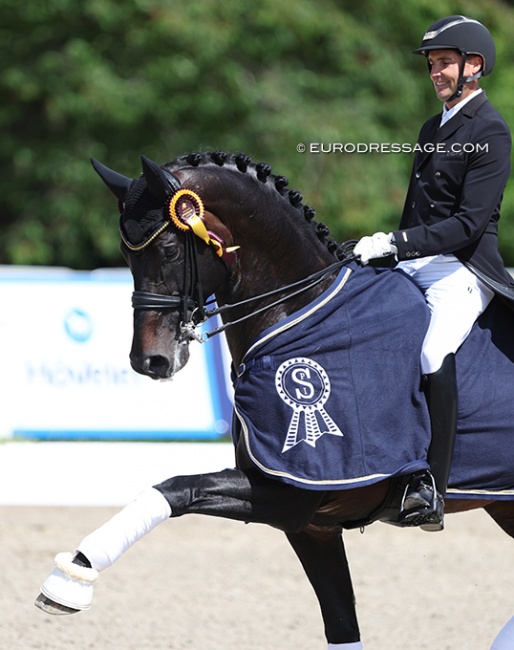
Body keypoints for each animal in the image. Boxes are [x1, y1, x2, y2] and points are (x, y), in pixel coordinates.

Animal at [35, 151, 512, 644]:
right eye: (126, 254)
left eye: (168, 250)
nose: (149, 360)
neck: (300, 314)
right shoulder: (311, 525)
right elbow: (342, 627)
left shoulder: (292, 492)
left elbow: (178, 488)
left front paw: (72, 577)